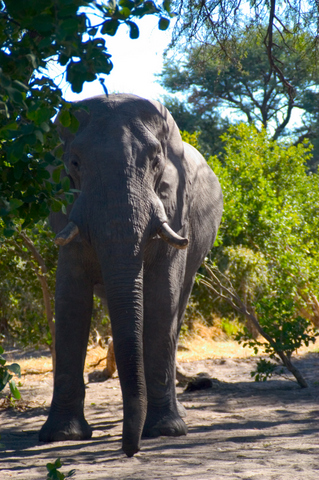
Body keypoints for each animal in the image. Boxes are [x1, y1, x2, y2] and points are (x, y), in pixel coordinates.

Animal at [38, 94, 224, 458]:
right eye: (74, 164)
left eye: (155, 162)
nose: (129, 451)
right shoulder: (68, 213)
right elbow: (70, 301)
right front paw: (62, 436)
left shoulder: (174, 207)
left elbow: (161, 299)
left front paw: (165, 431)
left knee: (177, 306)